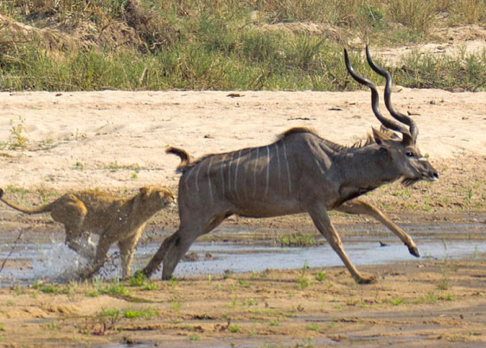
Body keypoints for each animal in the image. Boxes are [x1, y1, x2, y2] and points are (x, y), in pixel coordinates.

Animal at [0, 186, 175, 278]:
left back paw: (90, 254)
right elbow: (101, 254)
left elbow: (127, 260)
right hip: (79, 210)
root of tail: (55, 201)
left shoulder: (128, 242)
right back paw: (94, 257)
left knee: (75, 242)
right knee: (70, 242)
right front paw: (94, 267)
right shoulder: (107, 235)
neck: (141, 214)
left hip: (83, 228)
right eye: (162, 192)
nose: (173, 197)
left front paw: (126, 277)